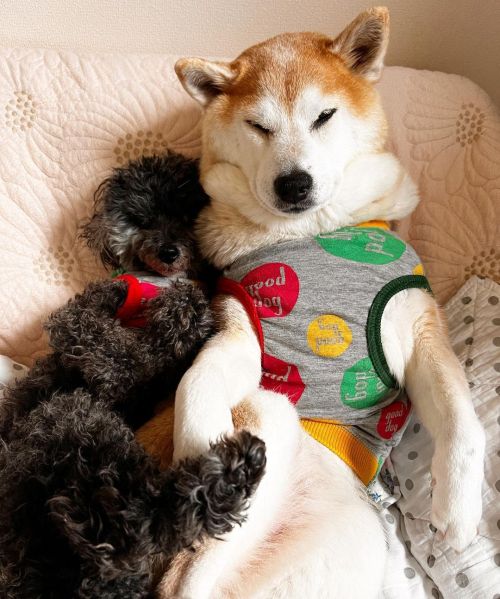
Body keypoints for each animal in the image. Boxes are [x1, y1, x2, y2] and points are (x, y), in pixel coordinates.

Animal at [157, 5, 484, 599]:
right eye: (259, 126)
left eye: (324, 116)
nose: (293, 183)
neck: (315, 235)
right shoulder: (242, 327)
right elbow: (195, 383)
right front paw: (198, 450)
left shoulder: (417, 328)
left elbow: (463, 419)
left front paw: (459, 510)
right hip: (271, 411)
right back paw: (219, 491)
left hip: (354, 540)